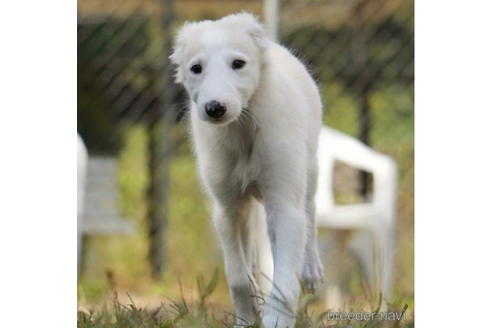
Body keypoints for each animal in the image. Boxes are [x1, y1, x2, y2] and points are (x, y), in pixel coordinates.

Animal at [171, 12, 324, 328]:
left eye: (238, 63)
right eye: (196, 68)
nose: (215, 108)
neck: (243, 130)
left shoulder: (284, 204)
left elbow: (284, 281)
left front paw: (276, 320)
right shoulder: (228, 208)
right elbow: (239, 278)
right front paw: (246, 318)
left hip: (307, 172)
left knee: (310, 215)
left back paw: (311, 270)